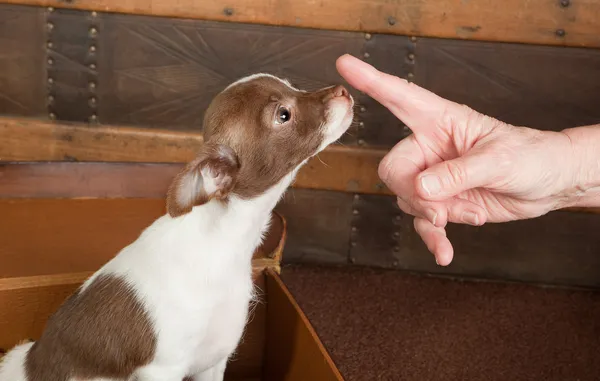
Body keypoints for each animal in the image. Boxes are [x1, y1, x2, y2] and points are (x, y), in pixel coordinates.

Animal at [0, 72, 352, 380]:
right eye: (283, 115)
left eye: (293, 86)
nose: (343, 90)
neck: (224, 240)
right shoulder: (163, 370)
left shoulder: (214, 360)